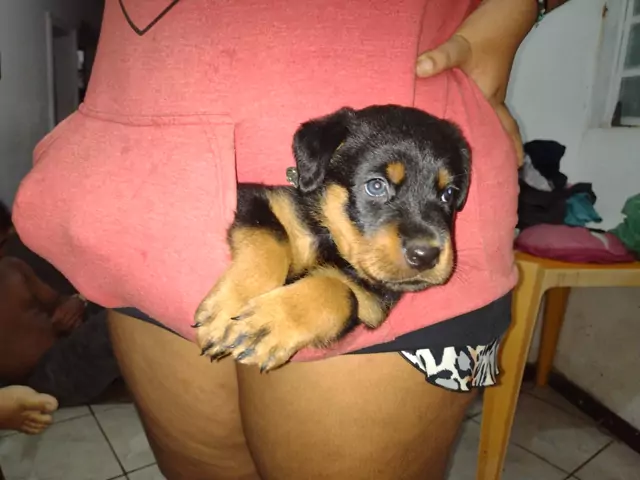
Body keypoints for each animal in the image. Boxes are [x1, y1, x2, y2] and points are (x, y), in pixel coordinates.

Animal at [194, 105, 471, 371]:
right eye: (376, 186)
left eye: (448, 194)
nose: (426, 255)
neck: (333, 244)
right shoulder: (256, 197)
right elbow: (271, 237)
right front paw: (227, 310)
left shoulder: (369, 304)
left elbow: (342, 293)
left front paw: (266, 326)